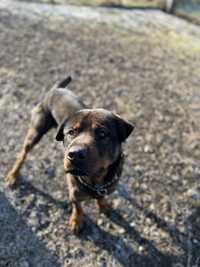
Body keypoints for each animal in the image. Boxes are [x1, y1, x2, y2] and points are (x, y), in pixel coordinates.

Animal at [5, 76, 134, 234]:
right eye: (71, 132)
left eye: (103, 133)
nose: (75, 154)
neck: (95, 180)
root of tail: (56, 89)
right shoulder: (73, 190)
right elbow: (77, 205)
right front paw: (77, 220)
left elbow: (102, 198)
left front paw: (103, 206)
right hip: (35, 132)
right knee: (22, 155)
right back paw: (13, 175)